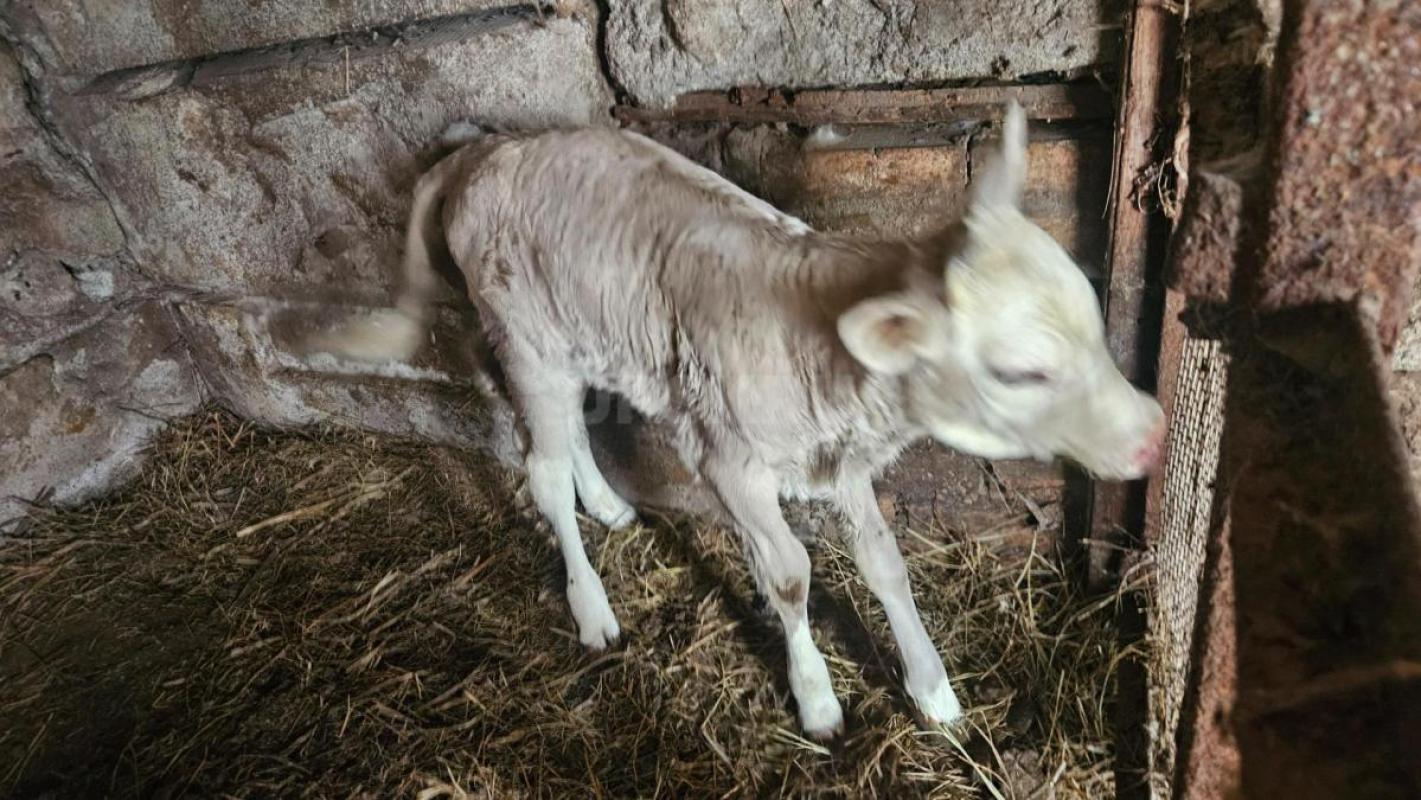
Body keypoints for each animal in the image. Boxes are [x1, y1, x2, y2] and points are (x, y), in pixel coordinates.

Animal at [309, 102, 1165, 739]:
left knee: (574, 432)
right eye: (1020, 372)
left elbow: (884, 561)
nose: (1154, 434)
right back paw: (593, 610)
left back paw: (610, 505)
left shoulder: (840, 459)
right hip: (522, 338)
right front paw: (817, 701)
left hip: (579, 334)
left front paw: (932, 689)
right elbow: (789, 575)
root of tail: (482, 151)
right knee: (542, 472)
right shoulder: (729, 463)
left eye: (1093, 318)